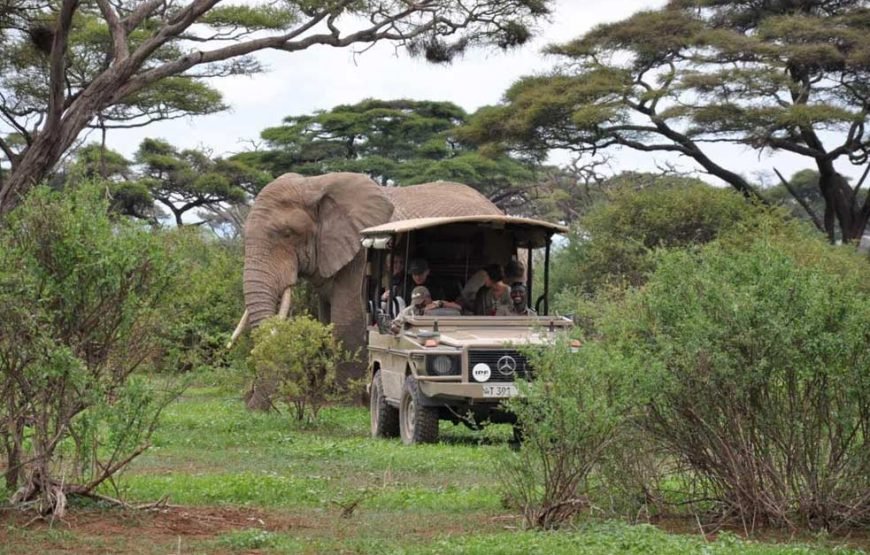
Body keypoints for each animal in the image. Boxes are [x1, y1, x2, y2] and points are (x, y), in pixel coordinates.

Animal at [235, 172, 504, 410]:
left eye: (288, 234)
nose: (251, 404)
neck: (314, 184)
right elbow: (325, 322)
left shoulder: (359, 254)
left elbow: (347, 320)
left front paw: (346, 403)